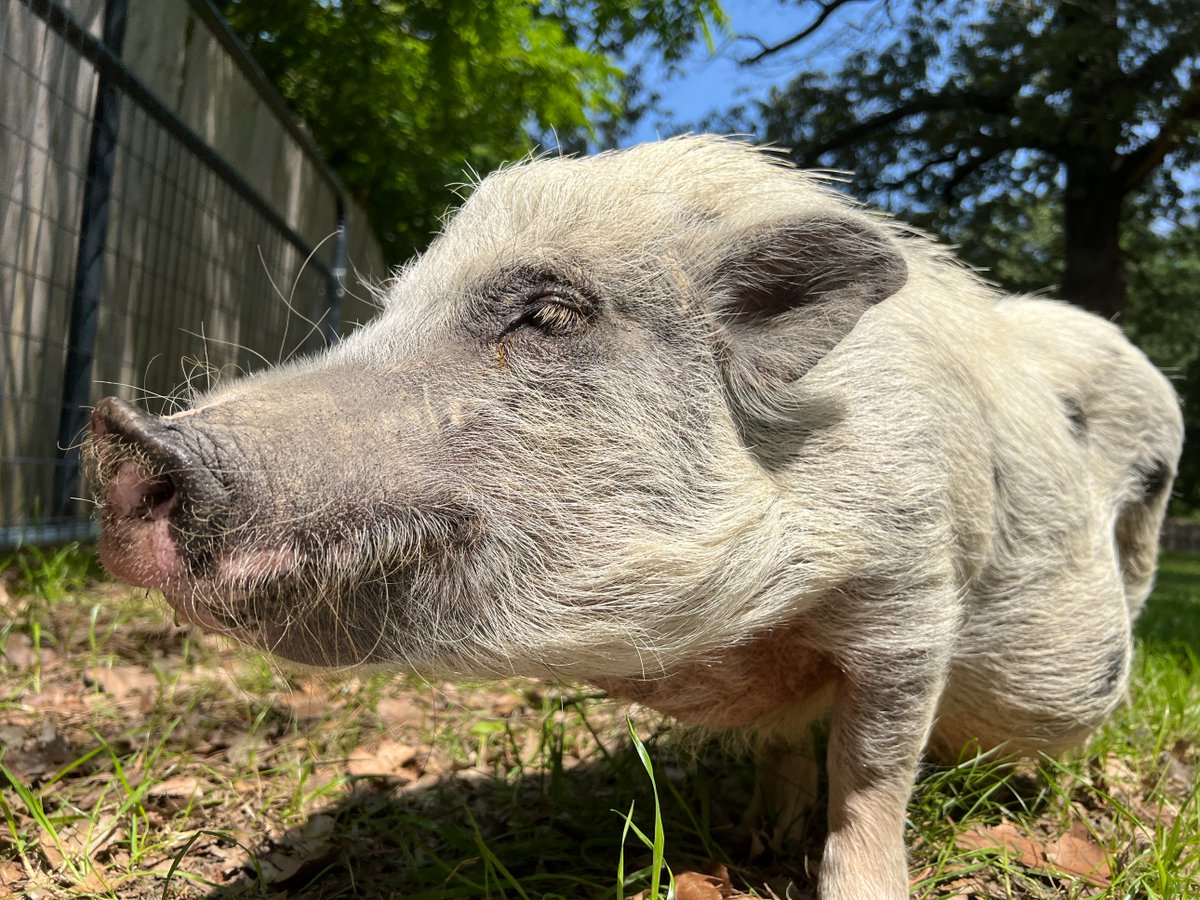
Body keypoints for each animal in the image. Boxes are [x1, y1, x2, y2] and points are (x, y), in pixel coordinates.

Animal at [84, 137, 1180, 897]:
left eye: (551, 314)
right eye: (391, 311)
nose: (128, 437)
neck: (740, 633)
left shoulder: (912, 596)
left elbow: (872, 773)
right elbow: (796, 746)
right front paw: (751, 844)